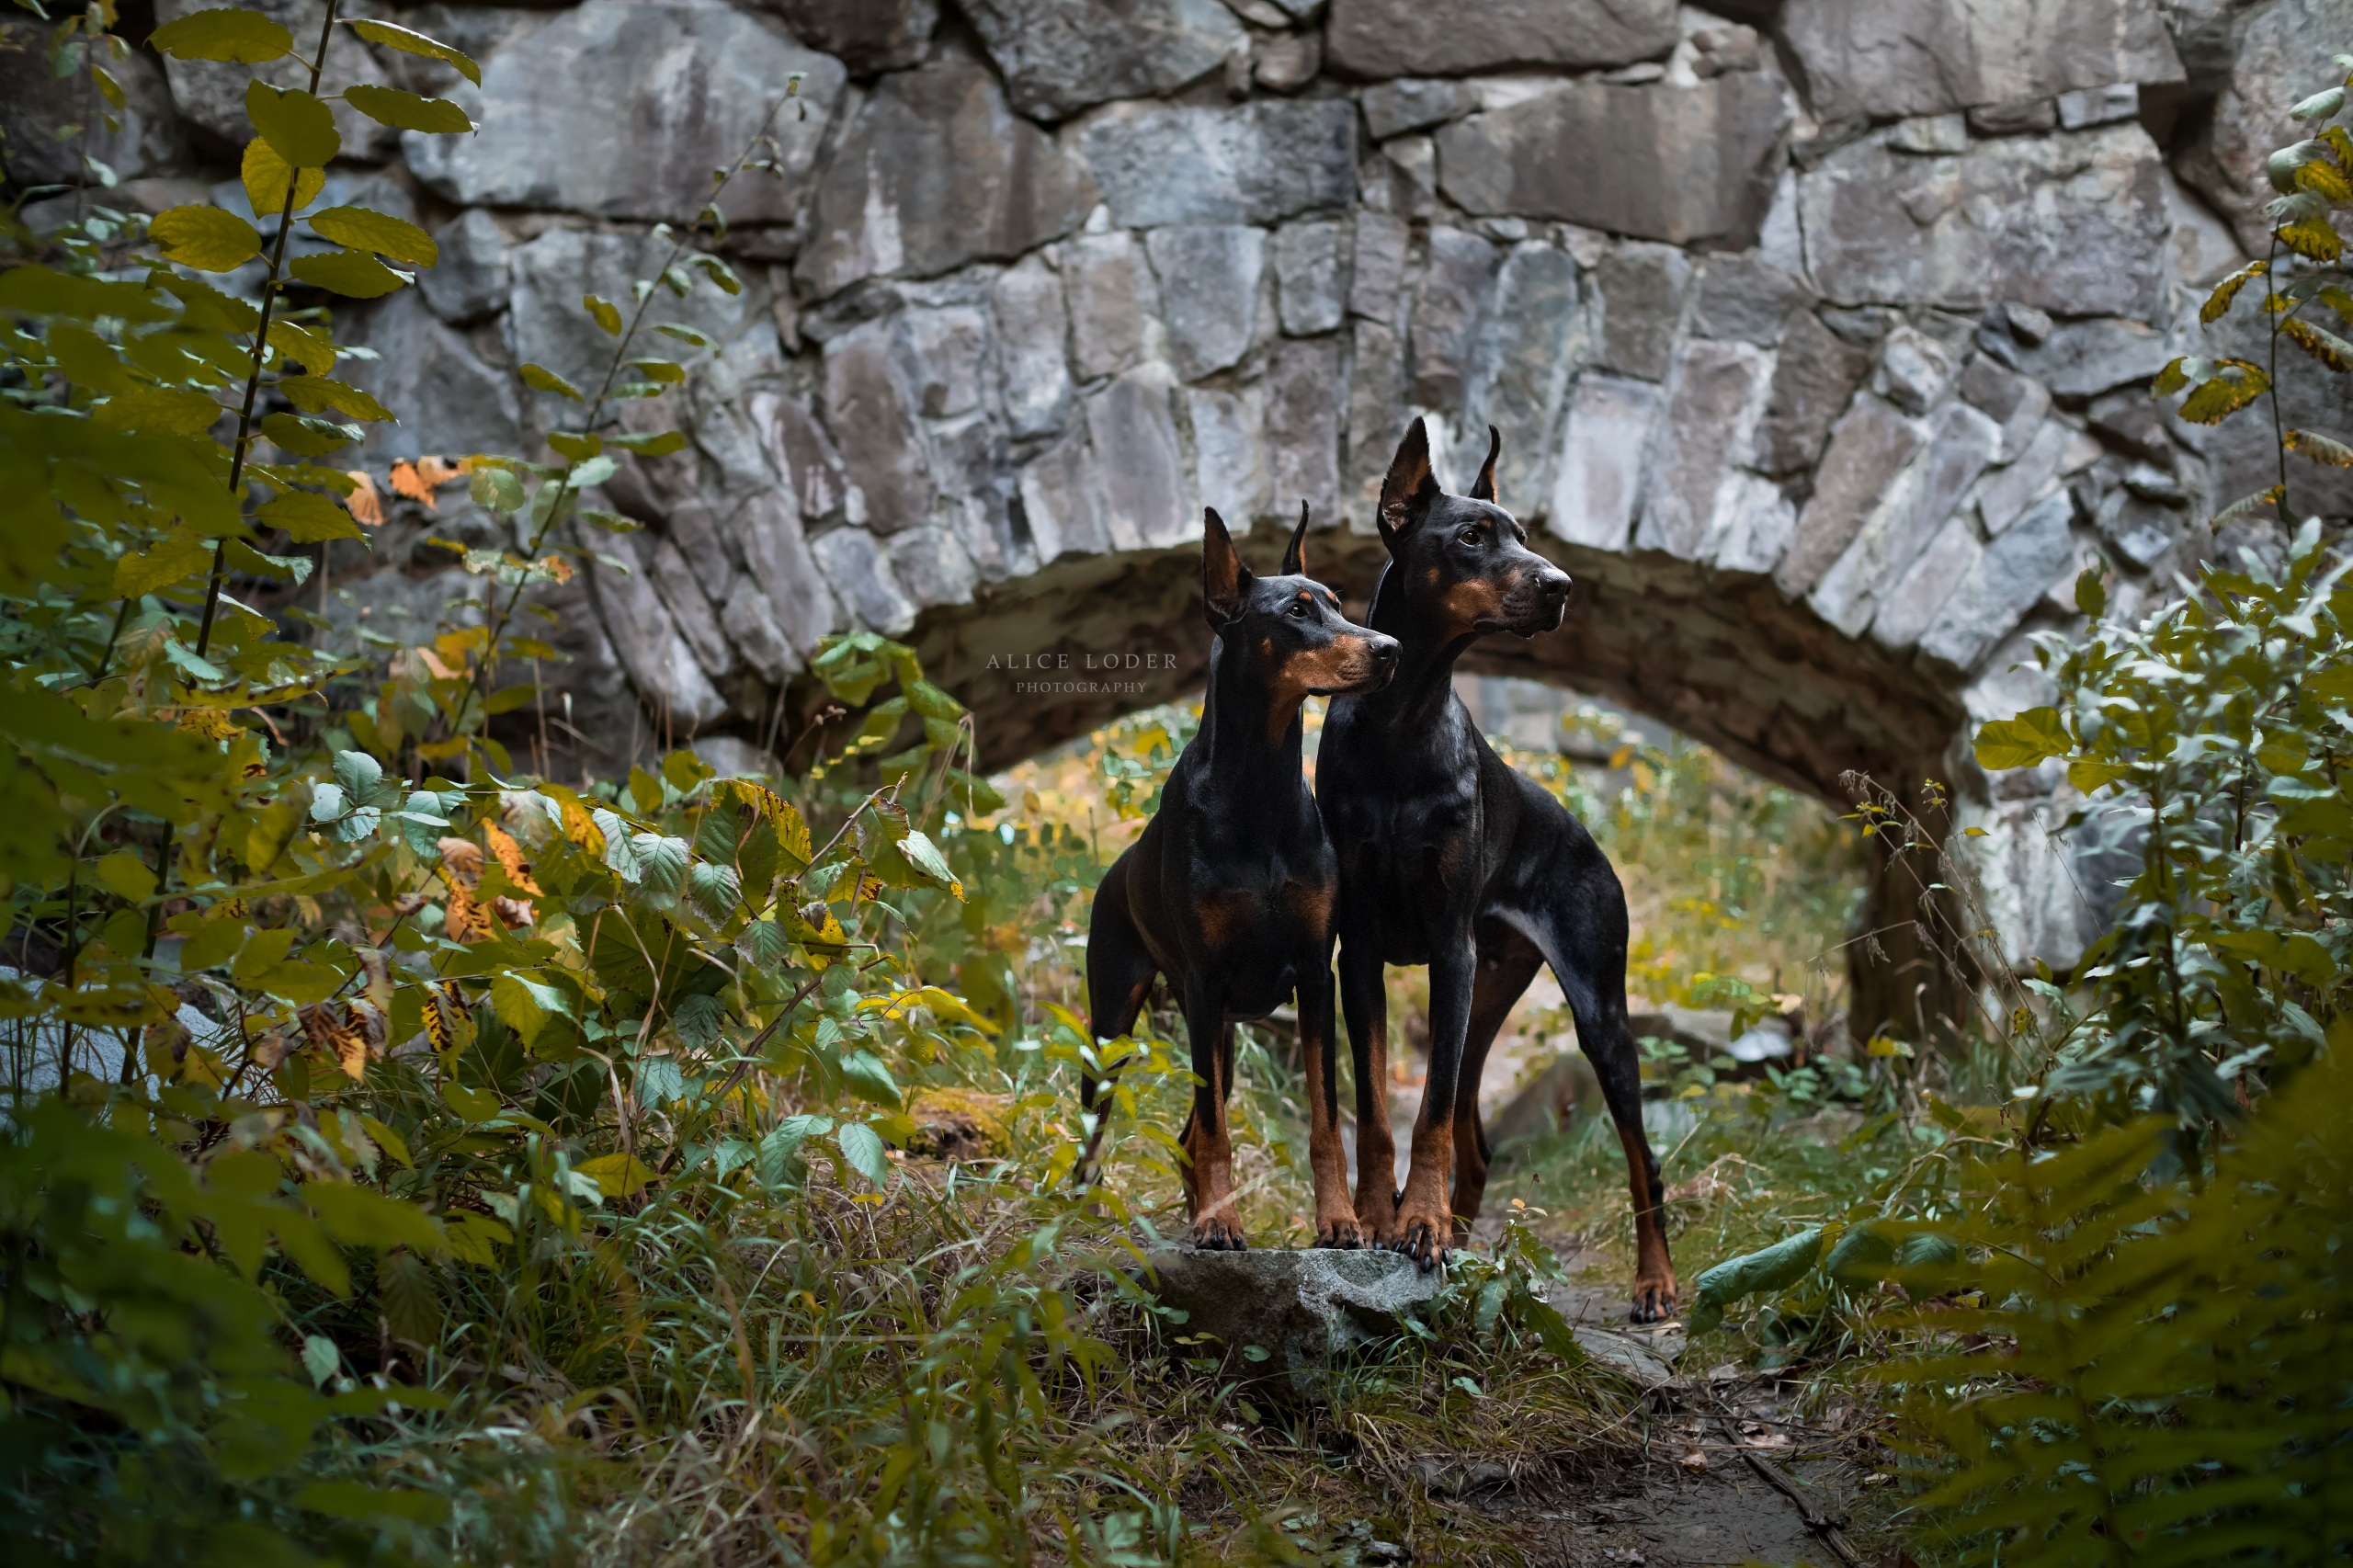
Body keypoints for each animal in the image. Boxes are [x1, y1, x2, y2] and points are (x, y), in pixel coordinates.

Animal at [1082, 501, 1392, 1243]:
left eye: (1338, 602)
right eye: (1298, 611)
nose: (1390, 648)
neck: (1258, 790)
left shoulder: (1315, 974)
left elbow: (1322, 1118)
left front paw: (1339, 1220)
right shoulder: (1203, 982)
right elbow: (1218, 1132)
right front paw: (1221, 1224)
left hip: (1216, 1029)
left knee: (1190, 1130)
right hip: (1117, 1018)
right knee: (1104, 1125)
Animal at [1326, 418, 1675, 1318]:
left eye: (1522, 532)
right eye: (1472, 537)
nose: (1561, 585)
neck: (1400, 723)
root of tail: (1589, 838)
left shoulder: (1449, 948)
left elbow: (1428, 1114)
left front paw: (1418, 1224)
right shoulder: (1360, 954)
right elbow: (1377, 1109)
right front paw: (1376, 1217)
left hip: (1594, 1008)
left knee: (1641, 1159)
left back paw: (1655, 1283)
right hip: (1490, 990)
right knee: (1475, 1137)